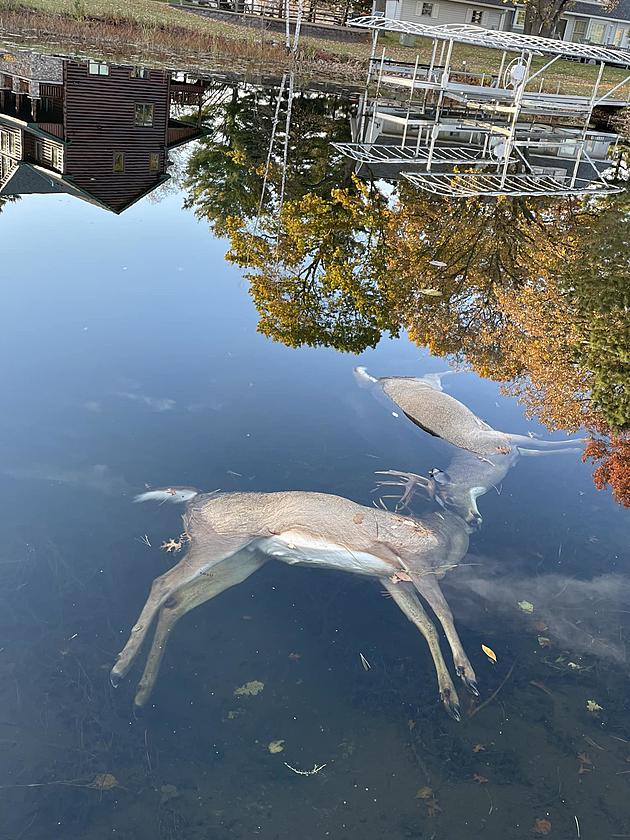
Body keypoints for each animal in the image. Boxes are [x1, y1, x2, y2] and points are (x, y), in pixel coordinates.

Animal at [110, 487, 480, 721]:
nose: (475, 520)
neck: (443, 536)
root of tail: (195, 500)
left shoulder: (391, 579)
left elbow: (425, 624)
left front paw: (450, 696)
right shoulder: (417, 568)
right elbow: (444, 614)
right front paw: (468, 674)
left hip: (246, 561)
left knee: (177, 602)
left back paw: (141, 694)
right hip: (216, 544)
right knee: (162, 584)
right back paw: (119, 669)